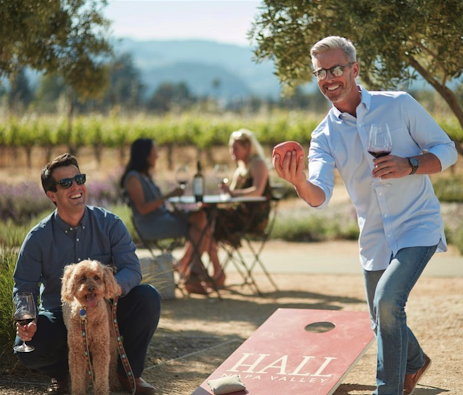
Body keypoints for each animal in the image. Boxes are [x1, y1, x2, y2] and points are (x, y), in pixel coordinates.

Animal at [62, 260, 122, 395]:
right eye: (82, 278)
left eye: (96, 277)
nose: (90, 288)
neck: (87, 314)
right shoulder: (77, 349)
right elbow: (77, 375)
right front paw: (79, 391)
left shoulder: (101, 347)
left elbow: (102, 374)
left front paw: (101, 391)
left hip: (111, 341)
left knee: (113, 363)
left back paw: (115, 383)